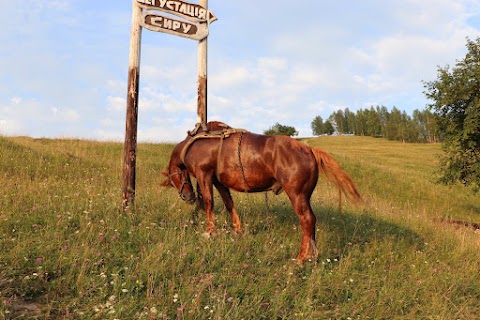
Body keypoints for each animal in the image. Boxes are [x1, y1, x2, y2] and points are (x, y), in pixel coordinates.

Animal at [161, 121, 360, 262]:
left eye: (173, 179)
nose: (188, 196)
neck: (196, 144)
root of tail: (310, 149)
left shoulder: (205, 175)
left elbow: (210, 202)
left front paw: (210, 231)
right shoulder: (219, 182)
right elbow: (229, 203)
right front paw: (237, 230)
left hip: (297, 195)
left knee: (307, 220)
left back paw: (302, 258)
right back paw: (312, 254)